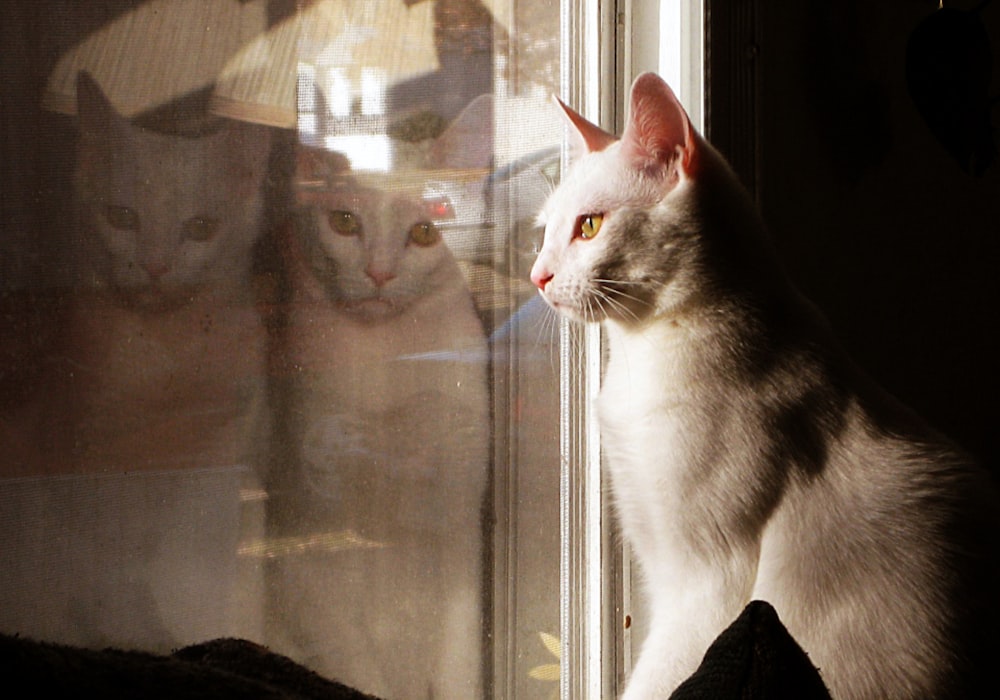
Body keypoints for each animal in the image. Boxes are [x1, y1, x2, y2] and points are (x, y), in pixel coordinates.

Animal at [268, 150, 490, 696]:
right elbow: (356, 666)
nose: (379, 272)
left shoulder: (458, 533)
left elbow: (460, 669)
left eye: (425, 231)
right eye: (345, 221)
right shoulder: (310, 549)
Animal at [532, 72, 1000, 700]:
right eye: (546, 232)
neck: (641, 351)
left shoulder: (706, 582)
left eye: (589, 226)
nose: (537, 276)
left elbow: (654, 681)